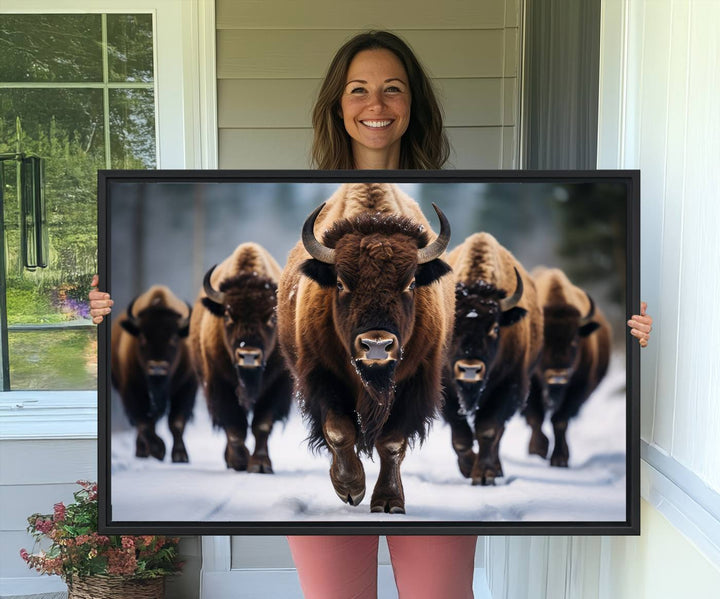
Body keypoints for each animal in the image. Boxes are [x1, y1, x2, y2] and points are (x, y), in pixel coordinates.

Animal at [110, 286, 195, 464]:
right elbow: (143, 423)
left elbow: (176, 422)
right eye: (142, 337)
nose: (157, 367)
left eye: (174, 338)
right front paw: (159, 450)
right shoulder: (132, 390)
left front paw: (180, 456)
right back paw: (142, 451)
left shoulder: (186, 387)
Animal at [191, 243, 296, 474]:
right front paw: (240, 461)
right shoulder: (220, 385)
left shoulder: (276, 386)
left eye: (272, 317)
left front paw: (260, 464)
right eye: (228, 315)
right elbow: (234, 426)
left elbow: (261, 425)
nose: (248, 355)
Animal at [278, 184, 452, 516]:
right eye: (341, 283)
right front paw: (350, 488)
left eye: (411, 283)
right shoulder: (322, 376)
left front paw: (389, 501)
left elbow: (392, 443)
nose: (377, 345)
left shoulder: (414, 383)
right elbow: (338, 431)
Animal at [442, 232, 544, 486]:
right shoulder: (447, 392)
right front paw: (469, 468)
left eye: (495, 328)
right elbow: (461, 437)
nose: (470, 369)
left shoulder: (507, 386)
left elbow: (488, 431)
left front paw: (484, 474)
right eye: (453, 325)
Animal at [520, 268, 612, 468]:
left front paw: (560, 458)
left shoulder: (576, 389)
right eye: (543, 342)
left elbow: (560, 421)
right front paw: (538, 450)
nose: (558, 376)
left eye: (574, 340)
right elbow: (536, 417)